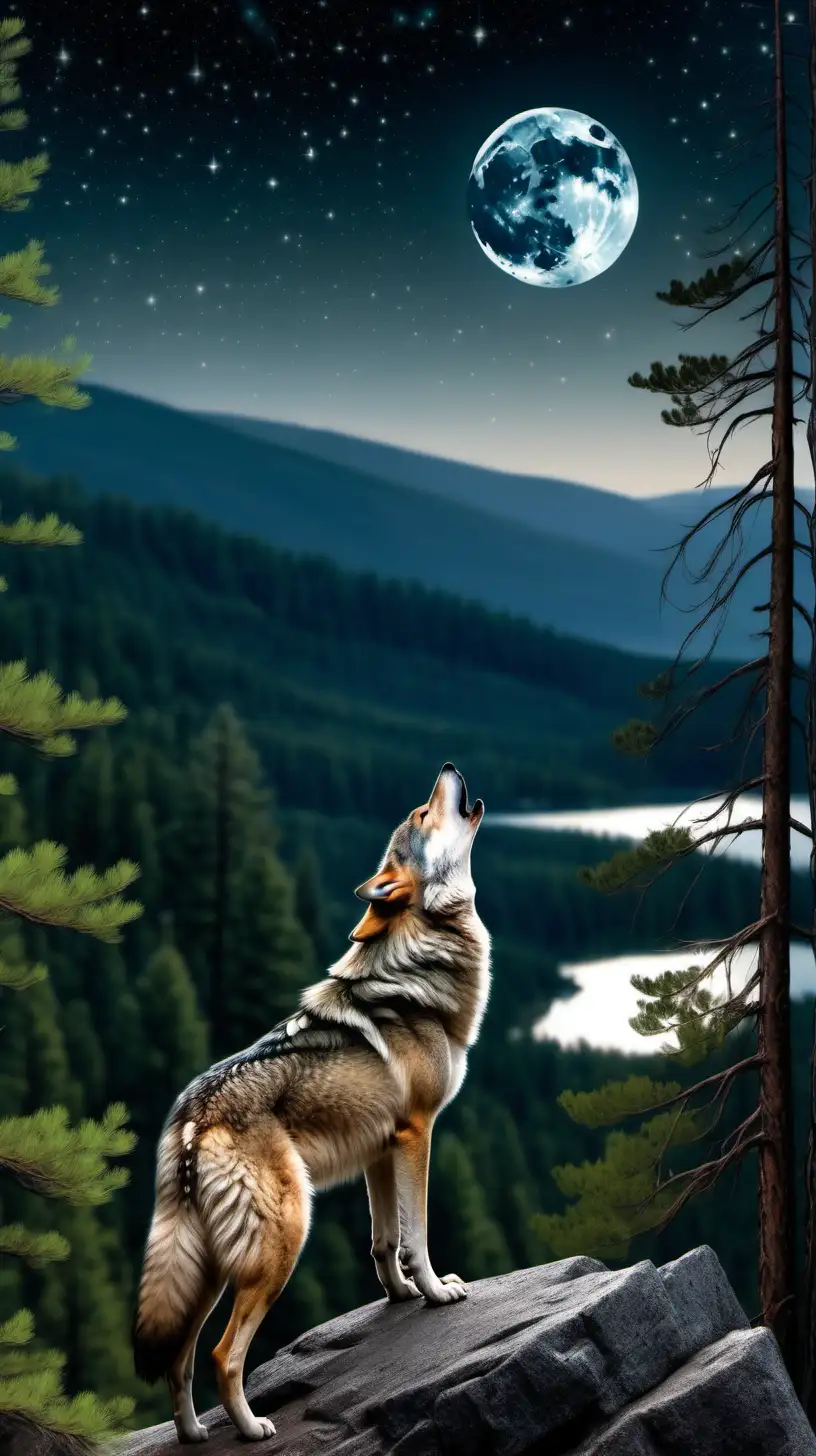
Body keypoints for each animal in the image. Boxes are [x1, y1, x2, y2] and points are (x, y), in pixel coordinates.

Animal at [134, 762, 489, 1444]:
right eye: (423, 813)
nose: (449, 769)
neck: (423, 957)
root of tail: (191, 1120)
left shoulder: (381, 1149)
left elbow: (383, 1242)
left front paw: (401, 1296)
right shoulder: (417, 1134)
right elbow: (418, 1236)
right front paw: (436, 1293)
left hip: (209, 1267)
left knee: (179, 1356)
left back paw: (193, 1435)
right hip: (283, 1239)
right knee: (222, 1354)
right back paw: (251, 1429)